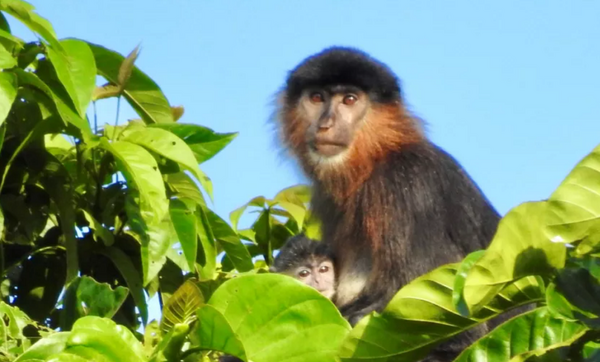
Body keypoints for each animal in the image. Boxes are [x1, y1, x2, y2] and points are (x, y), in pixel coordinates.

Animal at [274, 46, 500, 354]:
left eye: (349, 99)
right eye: (317, 97)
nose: (325, 125)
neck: (374, 160)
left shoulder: (408, 187)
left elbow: (461, 334)